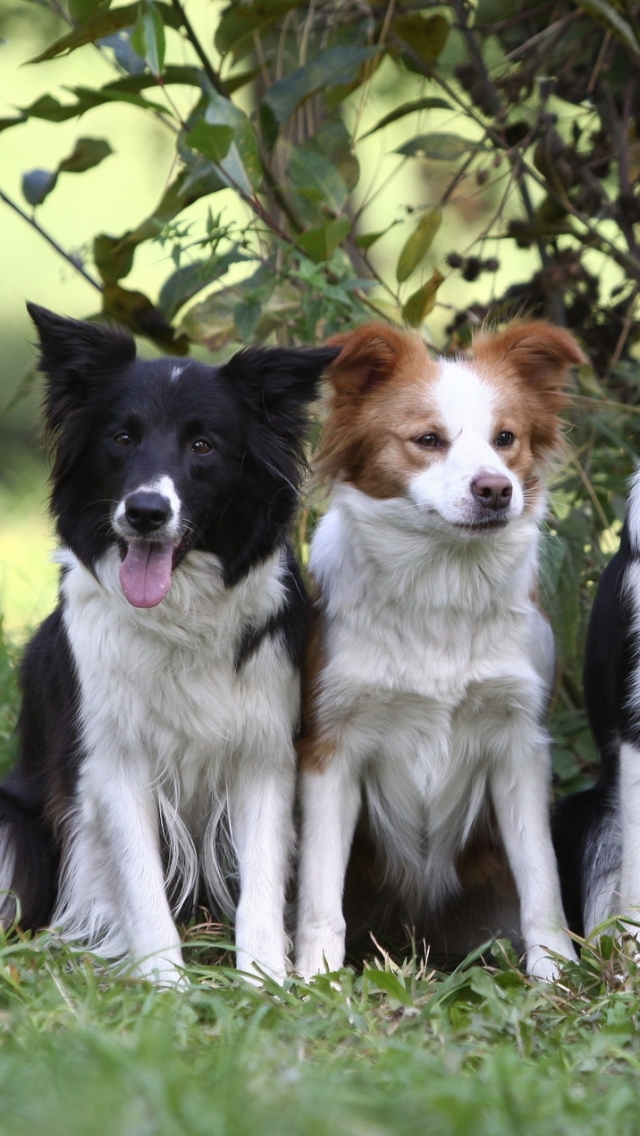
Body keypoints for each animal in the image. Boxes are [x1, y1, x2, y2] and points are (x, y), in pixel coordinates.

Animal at [0, 304, 341, 986]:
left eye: (202, 445)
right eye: (121, 438)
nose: (146, 512)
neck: (179, 617)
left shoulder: (263, 752)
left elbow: (262, 883)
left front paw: (264, 982)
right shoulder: (112, 761)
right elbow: (141, 884)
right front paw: (166, 985)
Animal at [295, 324, 586, 981]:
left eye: (506, 439)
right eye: (428, 440)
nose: (496, 489)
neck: (441, 585)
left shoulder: (519, 743)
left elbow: (542, 881)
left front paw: (555, 975)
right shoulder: (332, 746)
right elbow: (320, 889)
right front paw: (316, 979)